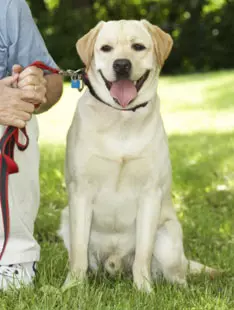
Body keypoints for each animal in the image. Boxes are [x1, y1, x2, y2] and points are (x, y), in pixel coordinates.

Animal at [58, 20, 216, 294]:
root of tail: (114, 264)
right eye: (106, 48)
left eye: (138, 47)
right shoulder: (80, 192)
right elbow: (78, 253)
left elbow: (143, 252)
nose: (121, 64)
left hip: (169, 239)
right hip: (67, 220)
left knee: (177, 273)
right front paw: (73, 287)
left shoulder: (150, 193)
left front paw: (144, 290)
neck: (122, 118)